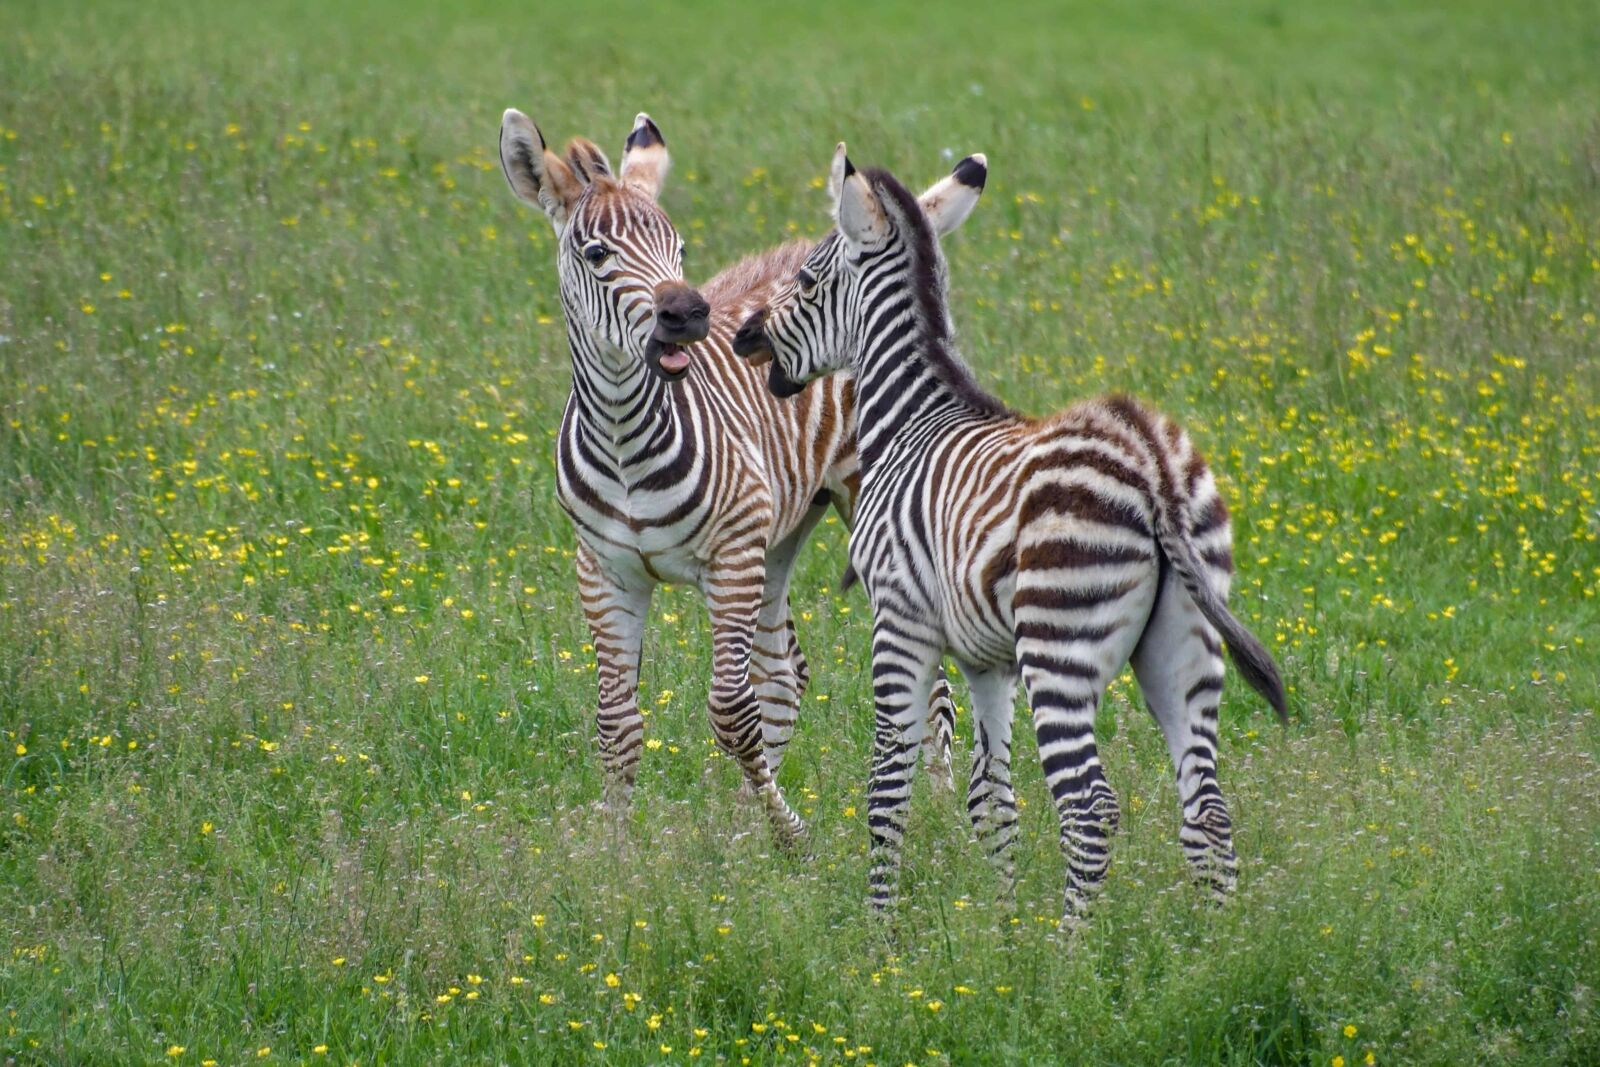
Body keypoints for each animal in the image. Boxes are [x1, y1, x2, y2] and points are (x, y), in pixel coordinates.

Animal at [497, 110, 957, 841]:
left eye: (680, 248)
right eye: (596, 254)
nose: (689, 313)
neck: (624, 438)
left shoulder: (731, 556)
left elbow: (731, 712)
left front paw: (791, 836)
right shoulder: (604, 569)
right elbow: (617, 724)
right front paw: (618, 849)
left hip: (859, 505)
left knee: (922, 678)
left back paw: (940, 808)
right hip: (783, 530)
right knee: (786, 675)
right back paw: (744, 828)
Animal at [733, 145, 1287, 921]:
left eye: (807, 279)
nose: (743, 337)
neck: (911, 417)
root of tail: (1151, 462)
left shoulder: (898, 620)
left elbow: (887, 788)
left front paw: (881, 931)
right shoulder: (985, 659)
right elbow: (992, 798)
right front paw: (1001, 925)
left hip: (1058, 646)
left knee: (1089, 807)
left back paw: (1067, 948)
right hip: (1182, 648)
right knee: (1206, 806)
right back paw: (1214, 942)